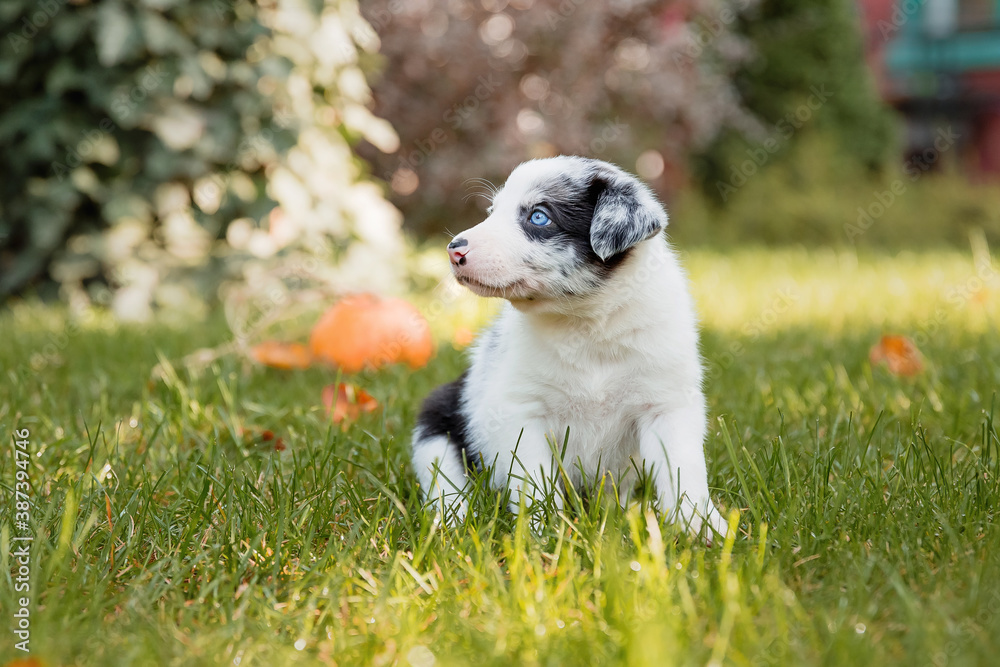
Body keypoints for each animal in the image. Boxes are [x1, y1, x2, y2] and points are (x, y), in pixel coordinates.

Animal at [410, 154, 724, 536]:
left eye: (538, 217)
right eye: (493, 211)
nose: (454, 250)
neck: (587, 324)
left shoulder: (667, 404)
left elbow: (684, 472)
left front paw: (704, 528)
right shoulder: (521, 412)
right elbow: (534, 483)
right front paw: (543, 535)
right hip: (436, 426)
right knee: (445, 484)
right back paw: (451, 521)